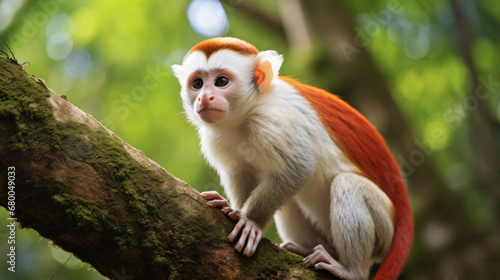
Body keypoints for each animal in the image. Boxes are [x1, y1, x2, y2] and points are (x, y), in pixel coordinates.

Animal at [172, 37, 414, 280]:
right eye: (197, 84)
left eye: (221, 81)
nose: (204, 97)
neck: (246, 114)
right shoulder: (216, 137)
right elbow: (240, 170)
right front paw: (234, 208)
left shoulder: (272, 120)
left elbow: (298, 170)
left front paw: (250, 220)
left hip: (385, 226)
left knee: (347, 183)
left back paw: (352, 271)